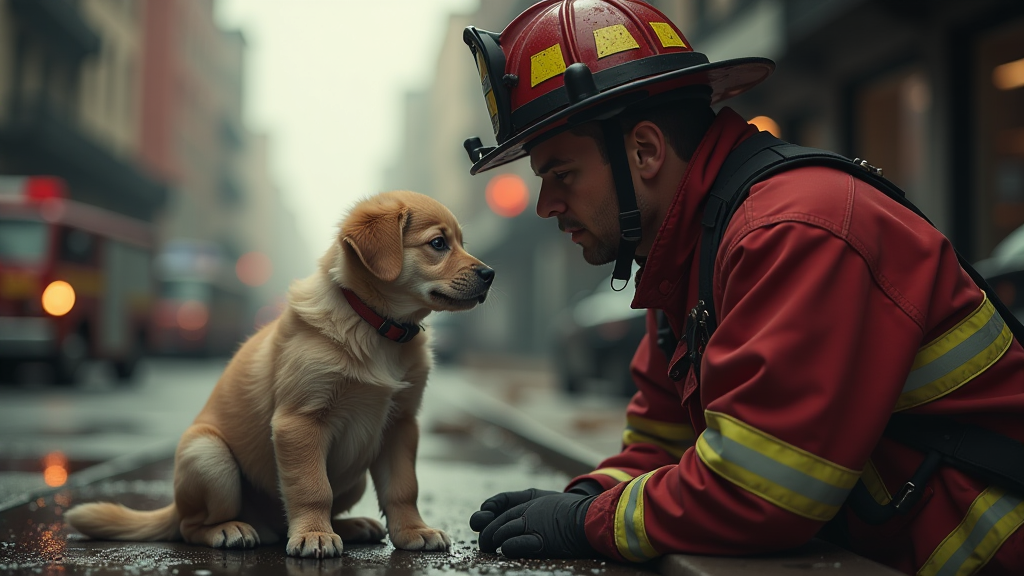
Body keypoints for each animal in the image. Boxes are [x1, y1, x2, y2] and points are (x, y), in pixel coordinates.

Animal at [65, 189, 495, 557]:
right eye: (438, 244)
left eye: (461, 242)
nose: (490, 273)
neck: (374, 326)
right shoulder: (299, 421)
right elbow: (312, 487)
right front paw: (315, 535)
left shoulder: (401, 424)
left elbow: (403, 487)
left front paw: (412, 531)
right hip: (209, 457)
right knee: (190, 526)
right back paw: (231, 529)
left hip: (352, 478)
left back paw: (350, 525)